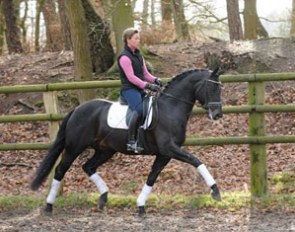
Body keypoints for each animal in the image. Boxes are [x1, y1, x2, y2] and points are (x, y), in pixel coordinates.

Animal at [30, 67, 224, 216]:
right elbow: (196, 161)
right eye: (211, 87)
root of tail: (77, 109)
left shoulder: (164, 154)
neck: (170, 108)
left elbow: (152, 176)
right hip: (74, 147)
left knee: (88, 167)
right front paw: (215, 192)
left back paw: (103, 198)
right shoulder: (170, 148)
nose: (217, 115)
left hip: (105, 150)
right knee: (60, 170)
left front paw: (141, 206)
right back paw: (49, 206)